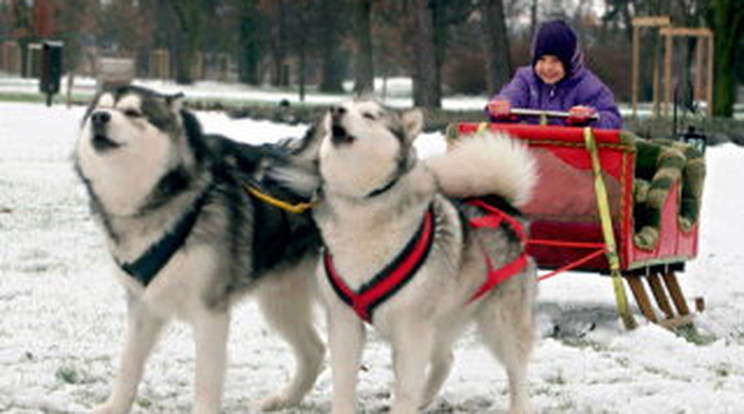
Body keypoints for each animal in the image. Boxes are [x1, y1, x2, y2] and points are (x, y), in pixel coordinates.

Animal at [75, 86, 326, 414]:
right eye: (99, 108)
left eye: (133, 113)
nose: (99, 118)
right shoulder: (143, 303)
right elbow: (129, 362)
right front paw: (114, 406)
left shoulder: (210, 311)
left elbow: (206, 377)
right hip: (281, 299)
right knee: (315, 350)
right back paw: (284, 399)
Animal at [310, 101, 536, 414]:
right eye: (346, 105)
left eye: (369, 115)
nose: (335, 109)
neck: (361, 206)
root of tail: (500, 206)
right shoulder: (343, 321)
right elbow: (343, 384)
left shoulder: (410, 327)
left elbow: (405, 388)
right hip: (442, 319)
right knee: (446, 359)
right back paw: (424, 399)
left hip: (500, 322)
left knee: (518, 370)